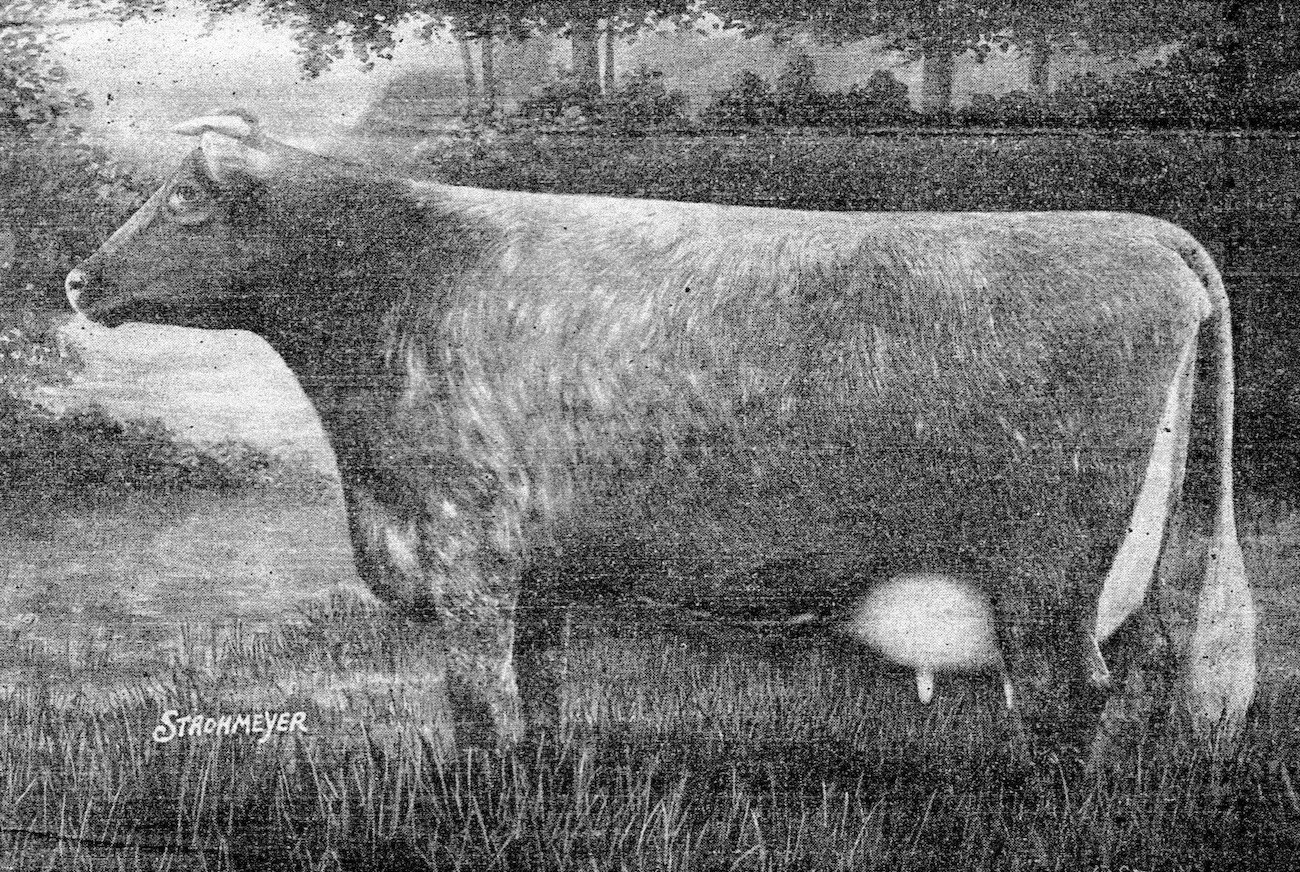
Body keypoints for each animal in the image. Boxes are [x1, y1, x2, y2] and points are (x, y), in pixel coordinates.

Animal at [64, 111, 1256, 754]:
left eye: (183, 199)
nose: (77, 278)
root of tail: (1141, 230)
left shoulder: (468, 548)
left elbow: (480, 708)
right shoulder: (531, 573)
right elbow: (538, 705)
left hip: (1046, 570)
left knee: (1070, 699)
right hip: (1142, 557)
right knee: (1157, 668)